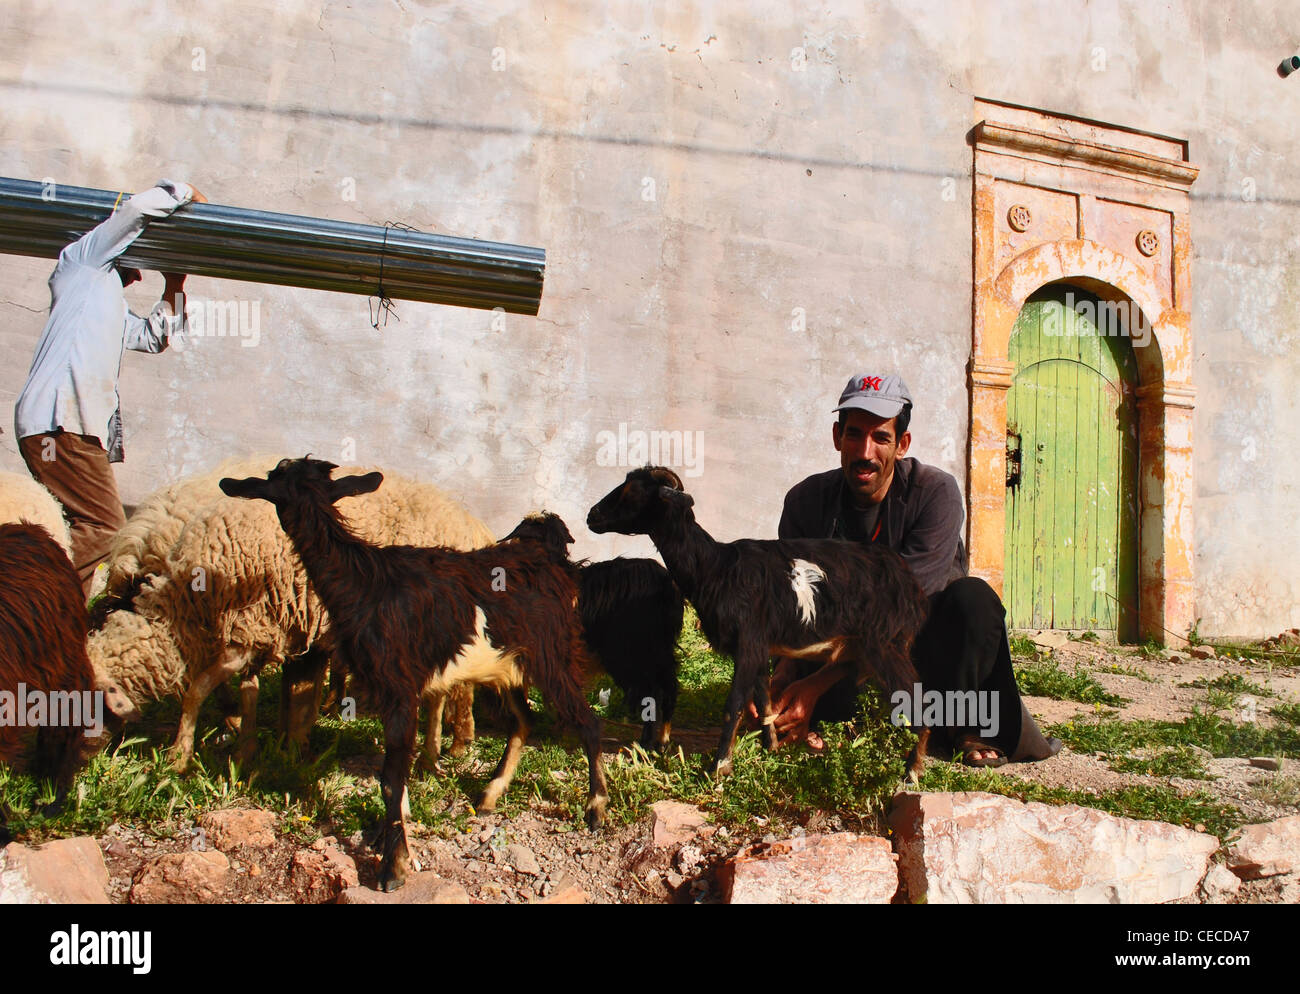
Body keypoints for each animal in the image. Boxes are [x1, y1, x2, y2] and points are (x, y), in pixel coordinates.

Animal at [220, 457, 605, 893]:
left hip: (551, 656)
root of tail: (547, 557)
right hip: (507, 664)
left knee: (587, 722)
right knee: (524, 721)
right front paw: (394, 840)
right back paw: (489, 795)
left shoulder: (399, 685)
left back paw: (595, 808)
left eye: (273, 482)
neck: (362, 583)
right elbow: (395, 776)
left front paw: (393, 866)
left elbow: (390, 778)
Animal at [499, 511, 691, 743]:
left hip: (631, 652)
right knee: (669, 687)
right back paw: (662, 739)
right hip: (659, 650)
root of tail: (666, 586)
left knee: (650, 691)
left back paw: (645, 742)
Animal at [585, 465, 930, 774]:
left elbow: (734, 704)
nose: (591, 516)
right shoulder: (761, 647)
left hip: (887, 645)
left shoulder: (748, 642)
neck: (715, 567)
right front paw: (771, 747)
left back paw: (912, 771)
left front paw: (719, 767)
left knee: (919, 704)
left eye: (632, 493)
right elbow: (764, 701)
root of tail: (909, 584)